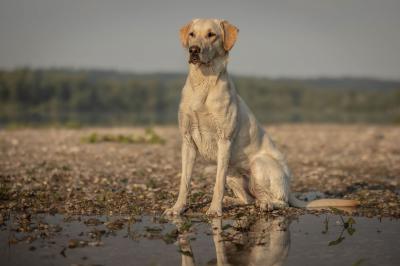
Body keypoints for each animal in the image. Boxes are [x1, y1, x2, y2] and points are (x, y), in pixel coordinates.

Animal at [163, 18, 360, 216]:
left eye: (211, 35)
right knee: (249, 199)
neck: (203, 83)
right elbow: (184, 182)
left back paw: (265, 204)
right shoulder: (188, 141)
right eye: (192, 34)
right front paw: (177, 208)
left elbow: (217, 184)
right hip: (233, 174)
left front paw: (214, 210)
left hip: (258, 164)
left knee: (278, 201)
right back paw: (233, 200)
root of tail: (290, 189)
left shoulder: (224, 141)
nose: (193, 50)